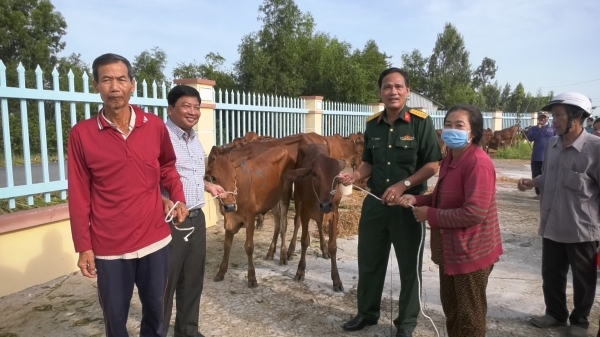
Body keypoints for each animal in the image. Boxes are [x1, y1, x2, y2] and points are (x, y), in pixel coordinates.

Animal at [209, 145, 296, 286]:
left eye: (234, 176)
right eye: (214, 177)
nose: (230, 206)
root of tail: (283, 149)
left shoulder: (250, 218)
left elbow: (249, 247)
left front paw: (252, 278)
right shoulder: (229, 220)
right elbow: (226, 246)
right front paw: (221, 272)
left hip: (286, 195)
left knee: (283, 225)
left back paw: (283, 256)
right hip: (273, 200)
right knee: (277, 224)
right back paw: (270, 252)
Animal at [284, 143, 344, 290]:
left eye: (337, 177)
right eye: (315, 174)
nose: (326, 205)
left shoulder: (334, 214)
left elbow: (333, 246)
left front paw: (336, 280)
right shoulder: (305, 212)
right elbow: (305, 241)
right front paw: (300, 271)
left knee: (319, 225)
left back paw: (324, 249)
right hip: (298, 200)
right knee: (297, 222)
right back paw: (290, 251)